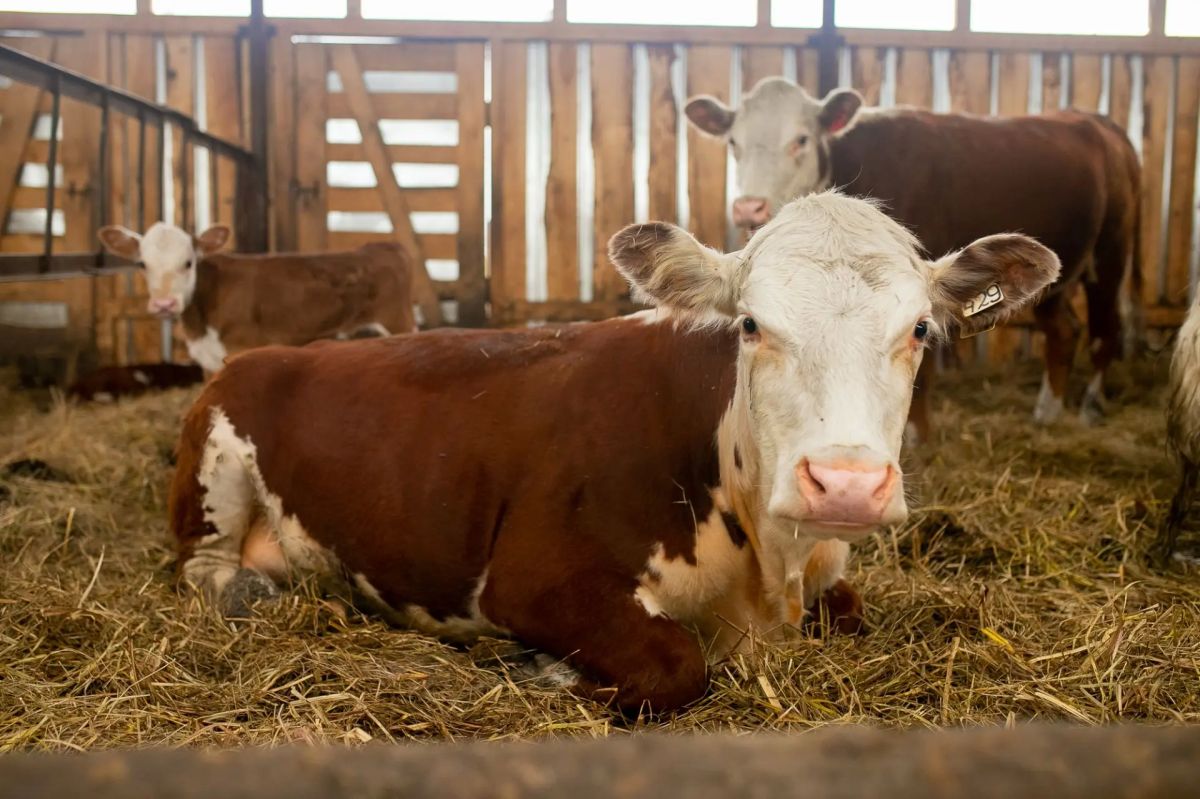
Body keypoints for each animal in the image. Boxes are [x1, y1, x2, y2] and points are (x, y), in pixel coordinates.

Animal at [97, 222, 417, 373]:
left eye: (189, 262)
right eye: (142, 264)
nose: (165, 304)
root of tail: (383, 246)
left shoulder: (241, 349)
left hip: (398, 321)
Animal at [168, 193, 1059, 712]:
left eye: (919, 330)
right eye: (750, 324)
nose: (844, 483)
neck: (768, 570)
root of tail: (275, 354)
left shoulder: (827, 580)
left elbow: (852, 615)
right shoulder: (529, 576)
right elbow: (677, 664)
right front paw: (540, 666)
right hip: (213, 476)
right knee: (210, 572)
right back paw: (254, 590)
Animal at [685, 78, 1141, 439]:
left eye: (801, 139)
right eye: (734, 142)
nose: (749, 207)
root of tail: (1099, 122)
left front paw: (918, 434)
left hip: (1110, 254)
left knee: (1104, 331)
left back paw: (1090, 406)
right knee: (1065, 330)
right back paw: (1048, 410)